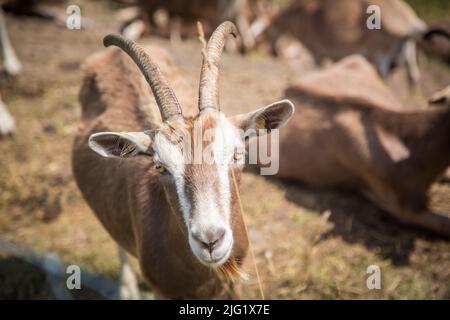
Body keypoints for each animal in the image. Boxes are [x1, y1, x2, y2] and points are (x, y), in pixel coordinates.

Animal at [256, 0, 450, 85]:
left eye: (266, 30)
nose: (273, 51)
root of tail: (408, 21)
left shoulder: (317, 54)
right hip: (406, 49)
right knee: (413, 76)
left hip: (381, 54)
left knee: (384, 78)